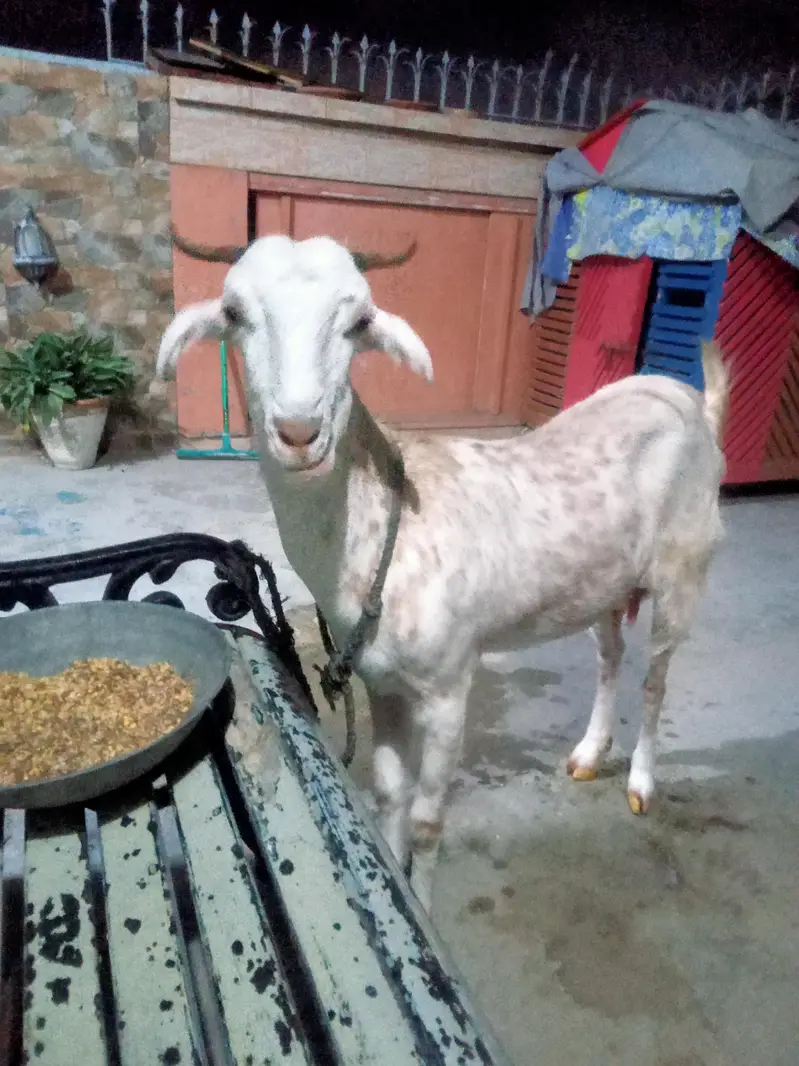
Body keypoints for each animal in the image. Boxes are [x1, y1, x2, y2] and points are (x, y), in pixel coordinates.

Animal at [153, 232, 729, 911]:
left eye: (359, 323)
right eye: (235, 314)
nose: (299, 431)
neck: (384, 530)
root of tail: (696, 402)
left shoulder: (450, 684)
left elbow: (428, 819)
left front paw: (423, 904)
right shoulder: (382, 685)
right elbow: (390, 796)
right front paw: (398, 885)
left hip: (684, 568)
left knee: (656, 679)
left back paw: (641, 782)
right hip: (603, 584)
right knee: (610, 654)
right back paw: (589, 753)